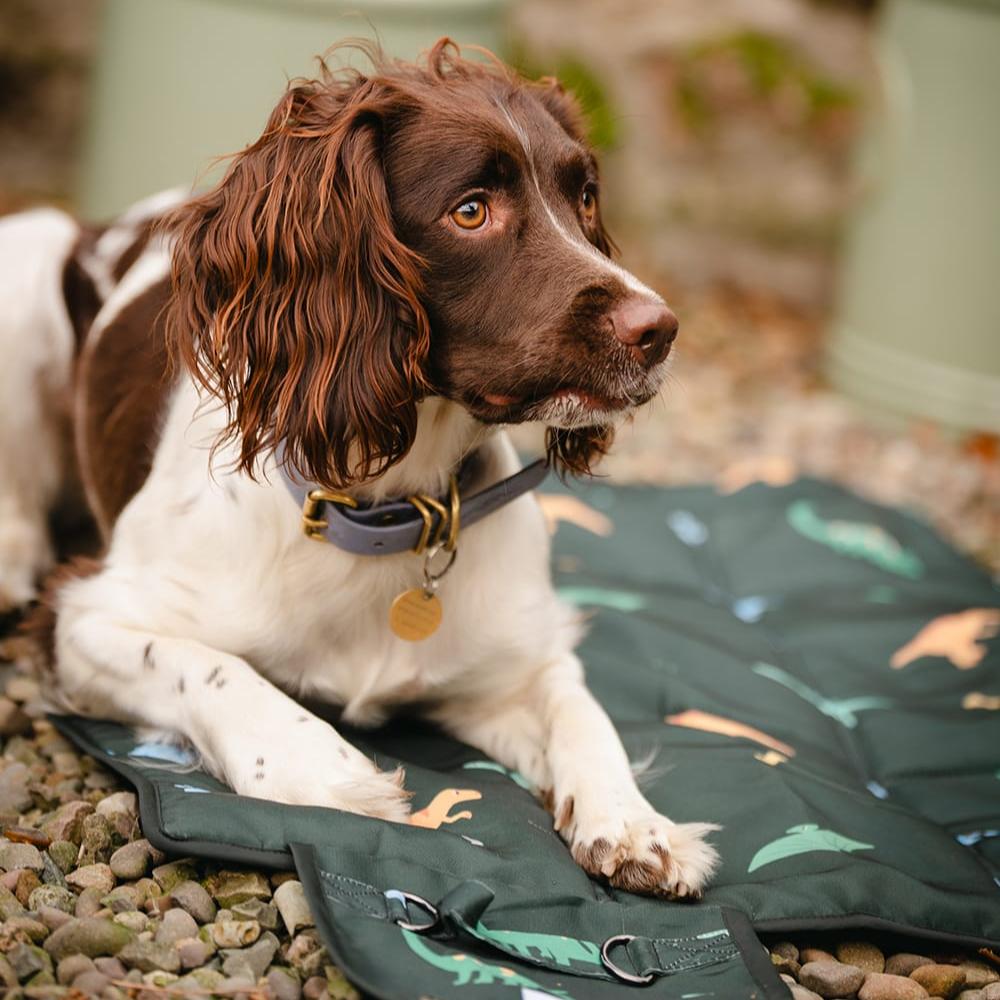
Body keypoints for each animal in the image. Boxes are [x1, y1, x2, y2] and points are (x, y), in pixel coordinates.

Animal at [0, 39, 720, 900]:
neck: (387, 505)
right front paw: (322, 767)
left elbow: (581, 707)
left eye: (584, 197)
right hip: (26, 250)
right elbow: (205, 666)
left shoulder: (512, 664)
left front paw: (636, 821)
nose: (660, 330)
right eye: (470, 210)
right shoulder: (85, 613)